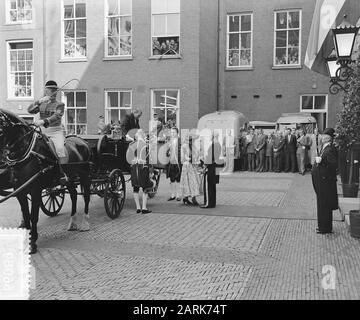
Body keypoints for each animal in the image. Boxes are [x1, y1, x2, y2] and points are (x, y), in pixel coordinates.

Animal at [0, 110, 91, 255]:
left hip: (85, 176)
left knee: (86, 197)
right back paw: (72, 223)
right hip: (69, 179)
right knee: (74, 196)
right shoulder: (20, 192)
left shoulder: (35, 191)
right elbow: (26, 215)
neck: (27, 153)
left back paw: (85, 223)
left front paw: (32, 243)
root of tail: (82, 140)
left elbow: (33, 216)